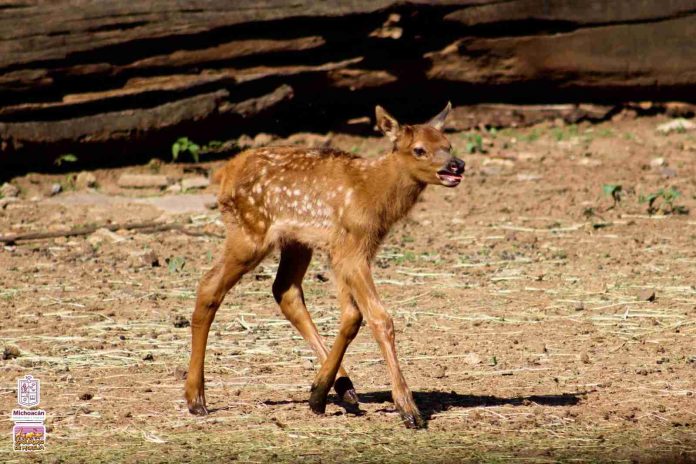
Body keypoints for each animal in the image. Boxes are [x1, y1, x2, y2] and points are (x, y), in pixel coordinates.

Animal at [184, 102, 465, 428]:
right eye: (419, 149)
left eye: (447, 144)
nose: (457, 165)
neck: (372, 194)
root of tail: (224, 173)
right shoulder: (350, 250)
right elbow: (380, 318)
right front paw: (409, 409)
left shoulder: (347, 250)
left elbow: (352, 316)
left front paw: (319, 393)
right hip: (249, 234)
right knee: (209, 285)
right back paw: (196, 400)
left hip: (295, 242)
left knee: (285, 291)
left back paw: (343, 389)